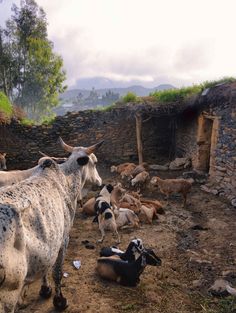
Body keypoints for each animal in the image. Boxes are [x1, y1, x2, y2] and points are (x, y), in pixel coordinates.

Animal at [0, 140, 103, 312]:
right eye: (94, 163)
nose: (100, 182)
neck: (67, 180)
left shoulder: (49, 245)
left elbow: (46, 268)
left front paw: (45, 289)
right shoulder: (63, 239)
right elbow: (57, 272)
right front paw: (60, 300)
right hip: (8, 296)